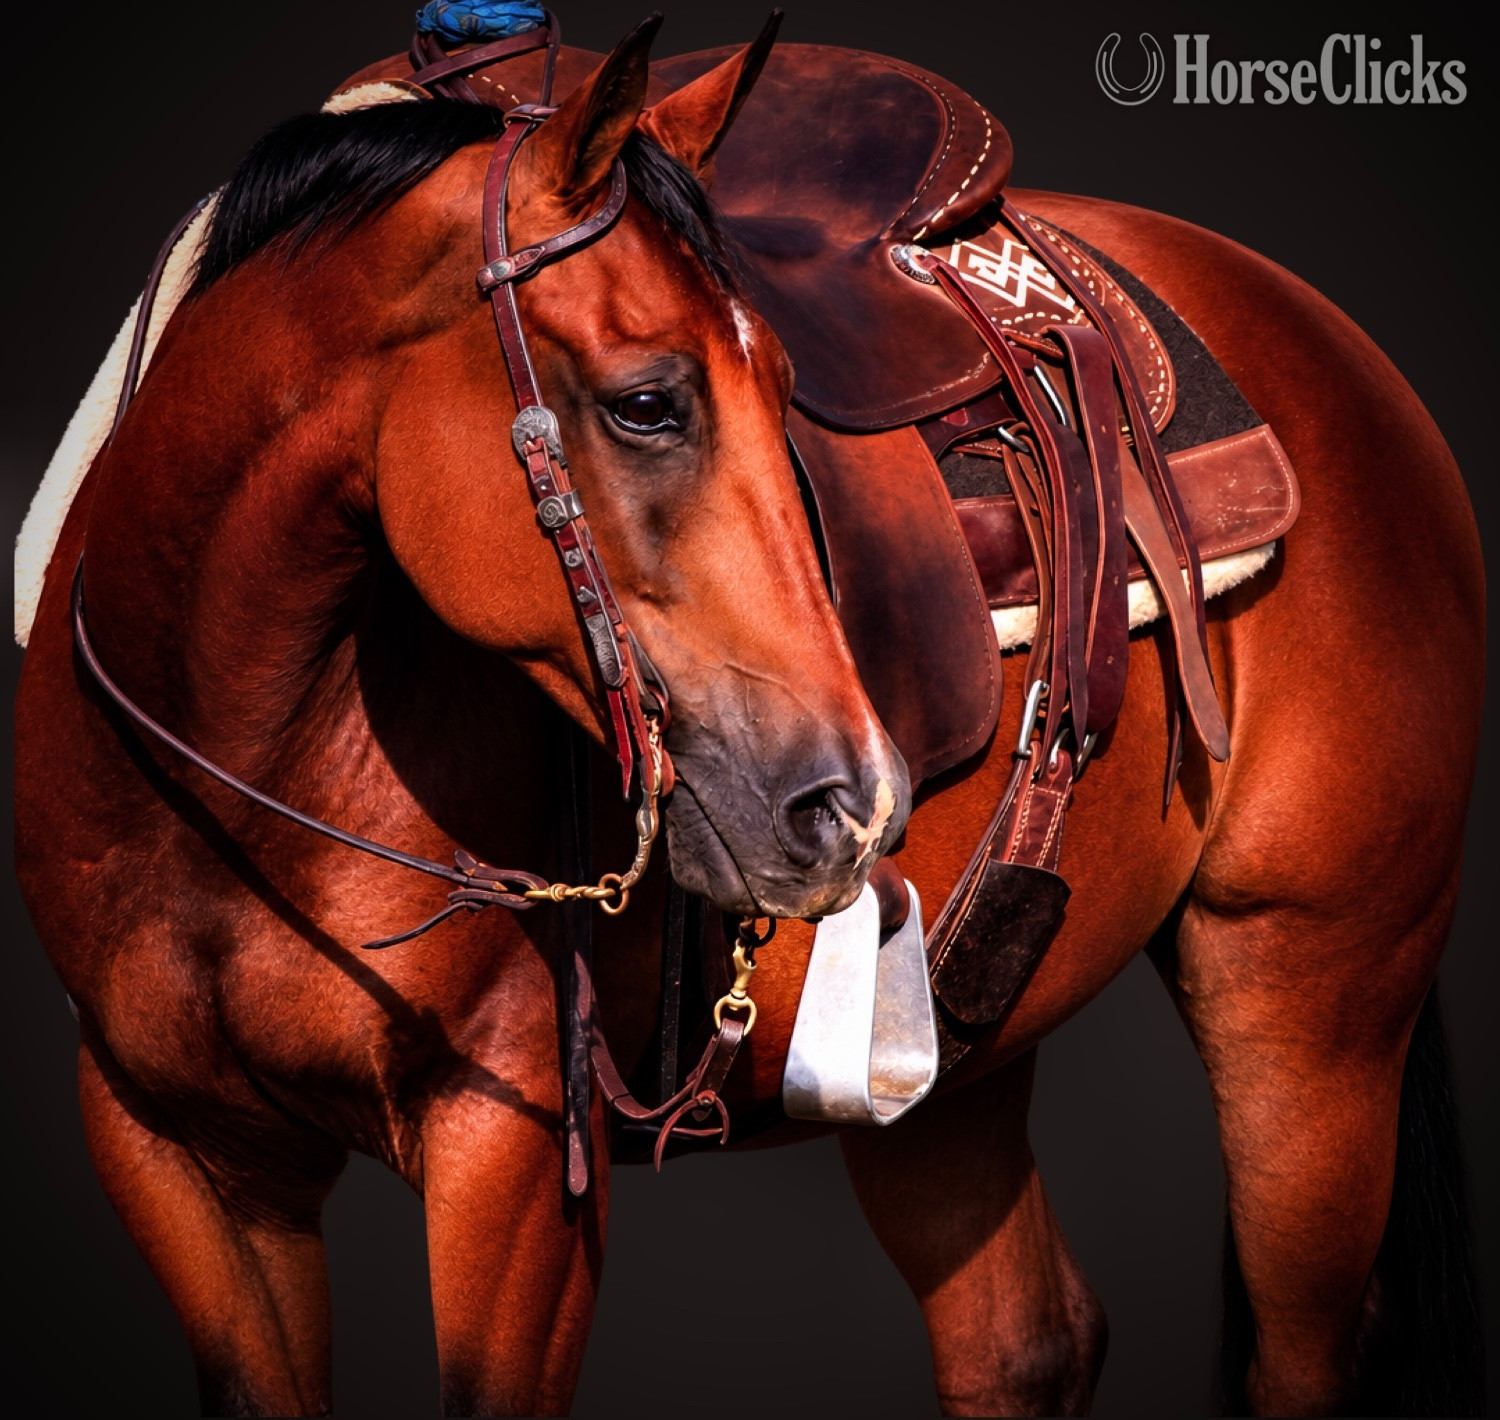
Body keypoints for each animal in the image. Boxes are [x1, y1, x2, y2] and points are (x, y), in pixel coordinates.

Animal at [11, 14, 1485, 1420]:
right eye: (646, 403)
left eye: (786, 393)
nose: (852, 802)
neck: (235, 758)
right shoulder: (177, 1152)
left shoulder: (516, 1166)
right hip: (958, 1058)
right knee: (1027, 1342)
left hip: (1311, 1007)